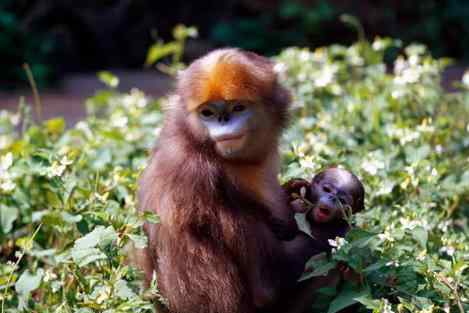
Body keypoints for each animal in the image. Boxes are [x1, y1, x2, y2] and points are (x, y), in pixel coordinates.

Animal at [138, 48, 314, 312]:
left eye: (238, 107)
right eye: (207, 113)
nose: (223, 120)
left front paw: (295, 192)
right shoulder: (192, 176)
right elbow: (267, 286)